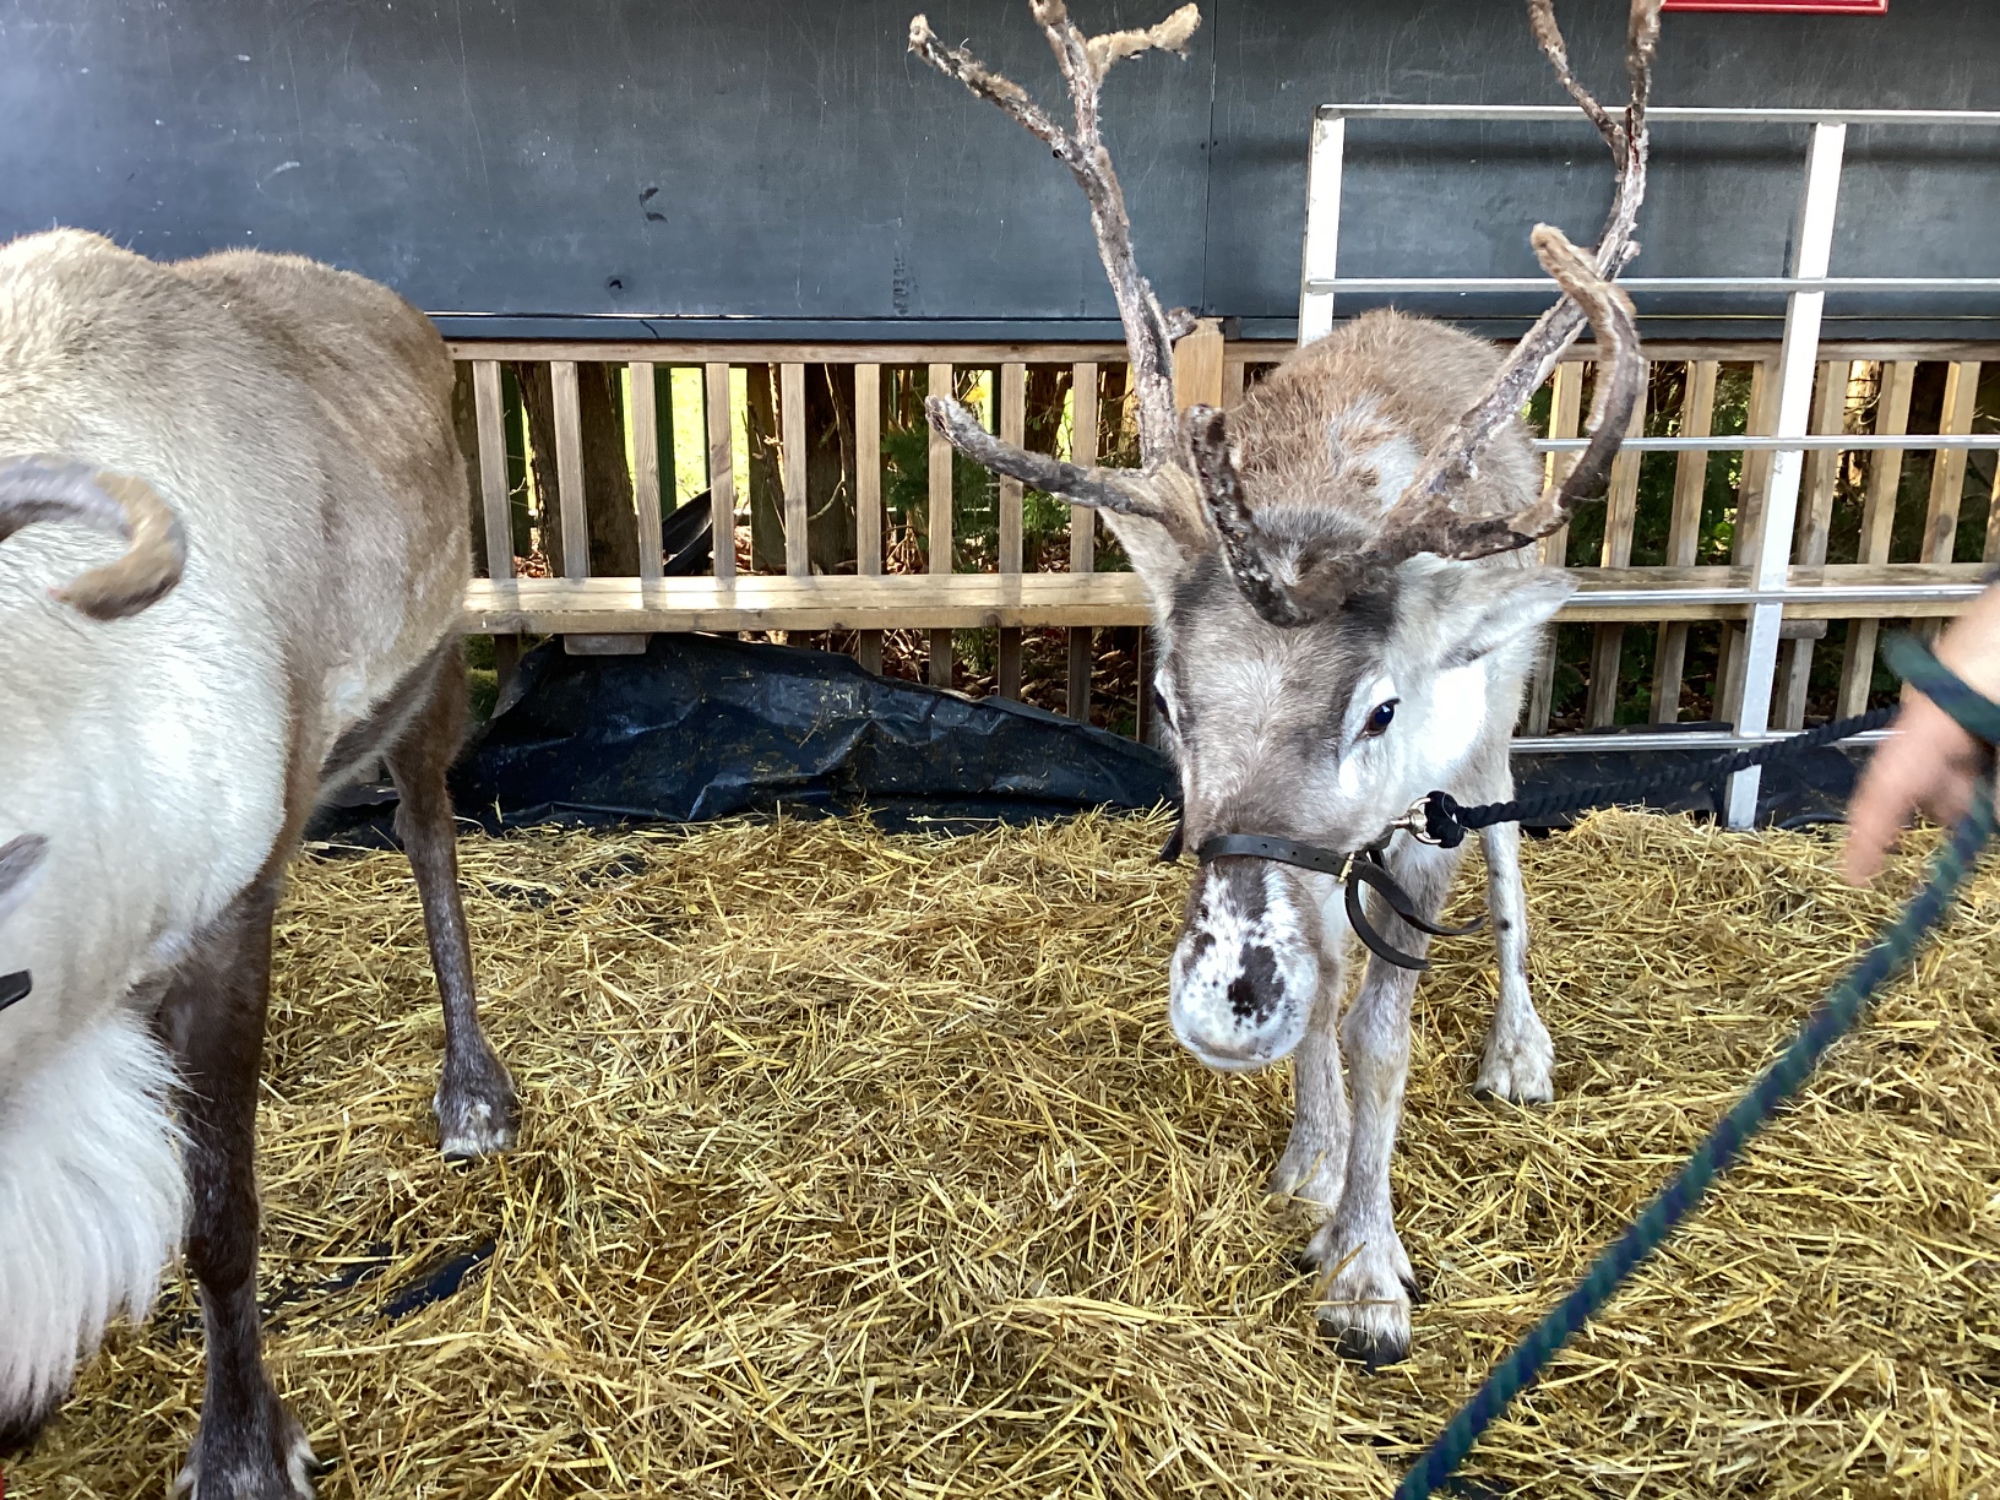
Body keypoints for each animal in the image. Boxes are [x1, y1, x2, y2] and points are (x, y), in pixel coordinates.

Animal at [0, 229, 518, 1496]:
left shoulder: (224, 912)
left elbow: (218, 1216)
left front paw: (241, 1451)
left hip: (433, 664)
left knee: (428, 834)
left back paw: (474, 1098)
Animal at [910, 0, 1658, 1365]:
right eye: (1166, 700)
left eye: (1380, 705)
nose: (1226, 999)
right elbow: (1324, 1001)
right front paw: (1311, 1169)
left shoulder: (1419, 815)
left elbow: (1376, 1031)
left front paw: (1366, 1269)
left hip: (1496, 725)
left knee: (1511, 865)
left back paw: (1516, 1047)